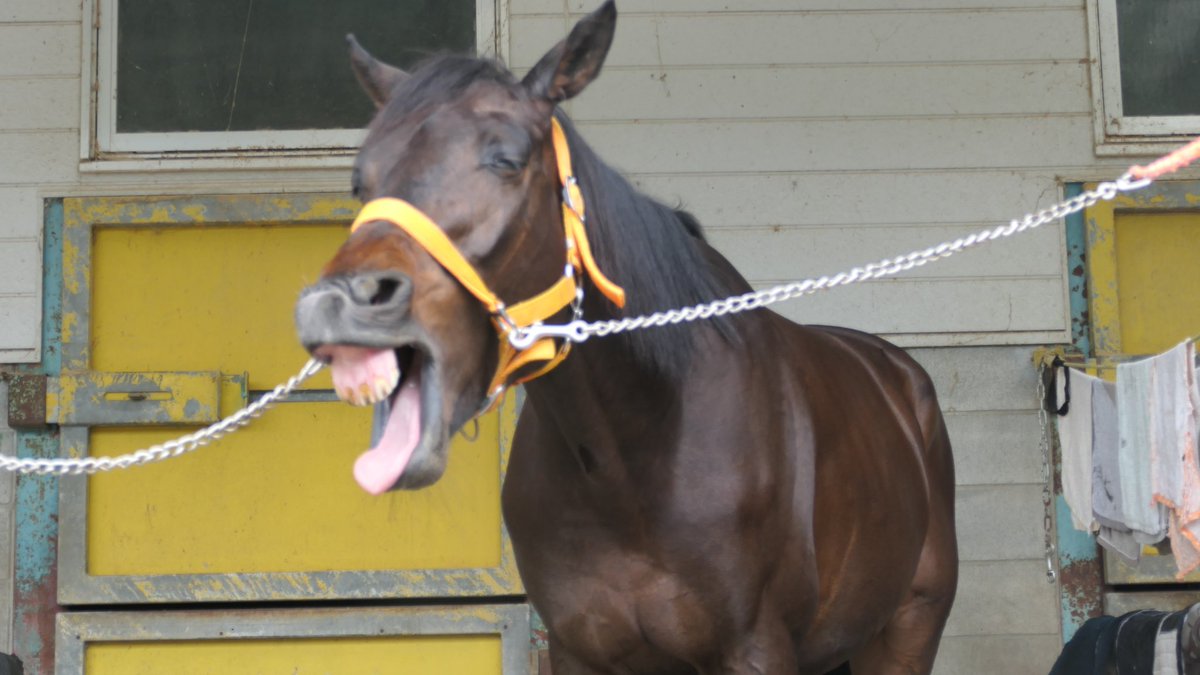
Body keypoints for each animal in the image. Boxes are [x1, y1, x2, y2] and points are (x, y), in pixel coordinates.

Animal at [294, 2, 958, 672]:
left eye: (506, 159)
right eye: (361, 180)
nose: (339, 304)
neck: (630, 457)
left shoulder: (757, 649)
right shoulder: (579, 649)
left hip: (906, 630)